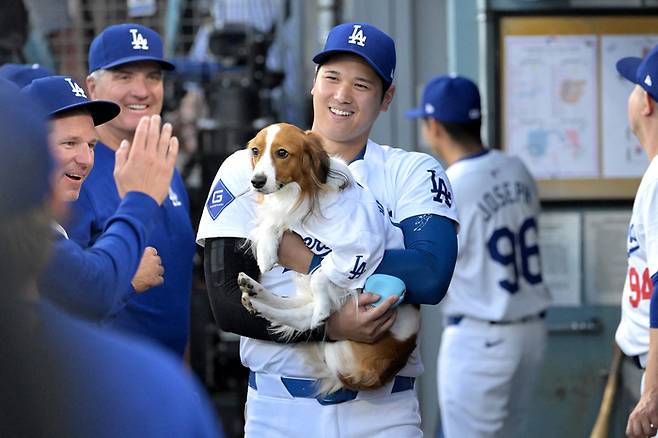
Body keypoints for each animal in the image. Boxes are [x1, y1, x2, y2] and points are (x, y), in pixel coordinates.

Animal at [238, 123, 418, 394]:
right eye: (256, 151)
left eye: (282, 153)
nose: (256, 181)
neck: (305, 192)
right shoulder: (289, 215)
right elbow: (273, 222)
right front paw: (267, 252)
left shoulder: (361, 251)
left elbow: (321, 275)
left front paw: (322, 308)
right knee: (297, 312)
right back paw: (254, 293)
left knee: (305, 316)